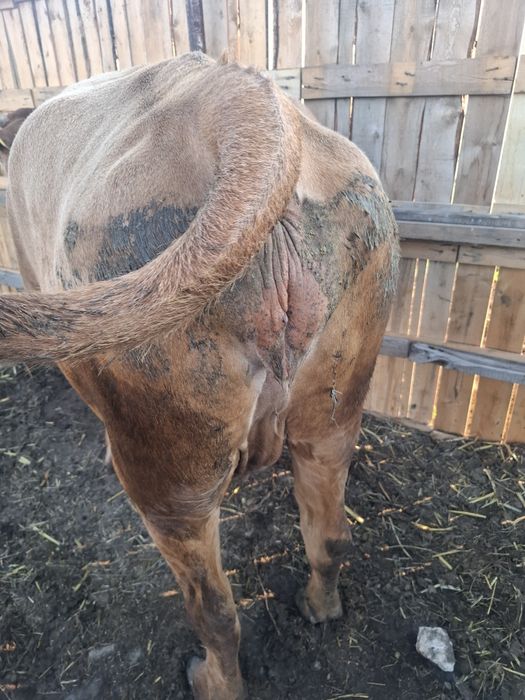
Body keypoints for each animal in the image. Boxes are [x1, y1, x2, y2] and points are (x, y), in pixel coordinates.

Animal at [0, 52, 398, 699]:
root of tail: (239, 102)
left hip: (169, 473)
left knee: (213, 609)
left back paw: (213, 679)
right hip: (336, 404)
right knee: (331, 533)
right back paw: (319, 606)